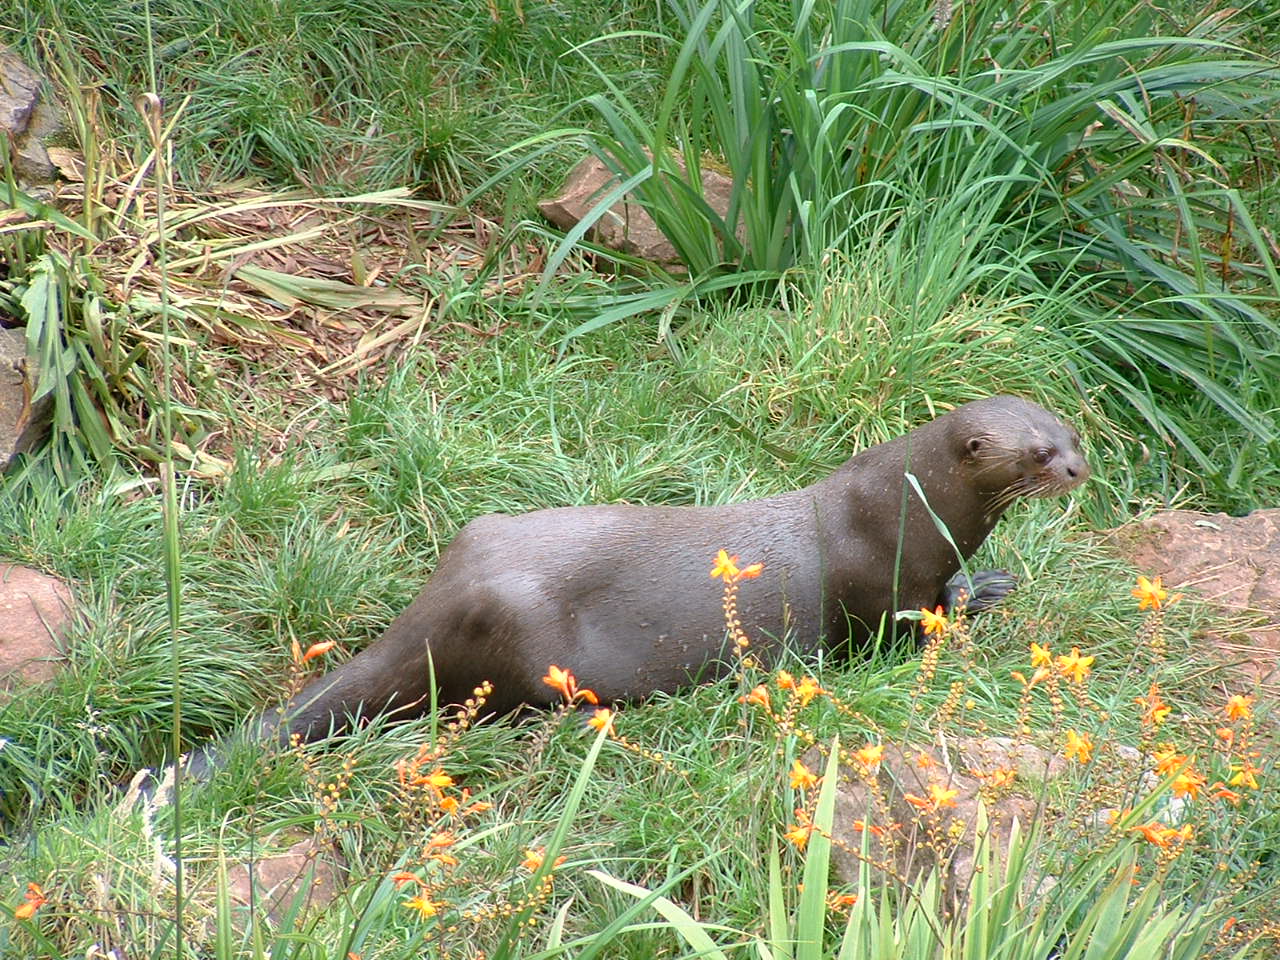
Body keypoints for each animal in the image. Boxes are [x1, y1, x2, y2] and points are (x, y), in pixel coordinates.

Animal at [212, 395, 1088, 761]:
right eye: (1040, 452)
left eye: (1073, 431)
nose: (1079, 467)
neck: (909, 508)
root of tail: (436, 602)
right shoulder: (877, 591)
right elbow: (899, 638)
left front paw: (989, 587)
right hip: (520, 640)